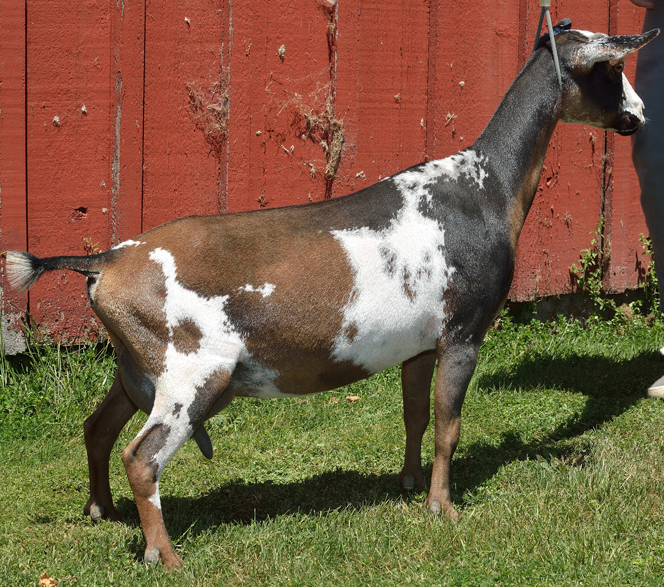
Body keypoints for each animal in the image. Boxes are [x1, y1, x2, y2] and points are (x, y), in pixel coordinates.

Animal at [4, 24, 658, 568]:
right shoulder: (464, 331)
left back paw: (102, 512)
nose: (640, 113)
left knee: (97, 427)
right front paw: (443, 509)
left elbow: (416, 415)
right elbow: (448, 424)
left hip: (136, 365)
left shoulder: (420, 345)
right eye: (610, 69)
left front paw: (407, 485)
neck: (485, 187)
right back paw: (165, 557)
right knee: (142, 460)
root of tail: (107, 260)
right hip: (192, 374)